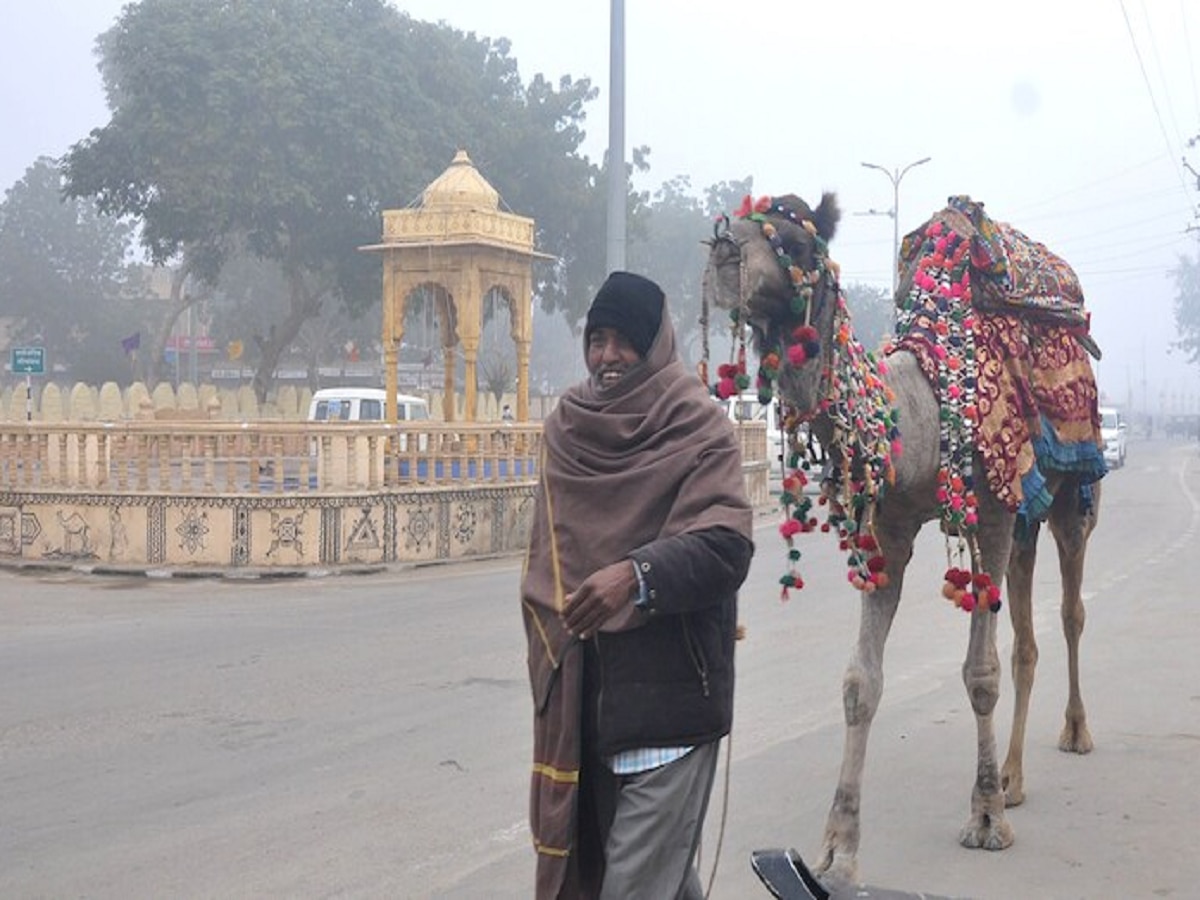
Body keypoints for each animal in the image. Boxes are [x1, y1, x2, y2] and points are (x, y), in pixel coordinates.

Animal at [700, 192, 1104, 888]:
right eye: (744, 219)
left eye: (796, 243)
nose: (725, 251)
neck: (923, 413)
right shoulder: (889, 527)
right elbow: (860, 682)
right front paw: (837, 849)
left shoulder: (991, 514)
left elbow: (980, 673)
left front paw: (986, 820)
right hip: (1027, 516)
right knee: (1026, 633)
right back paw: (1015, 777)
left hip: (1071, 490)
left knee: (1070, 609)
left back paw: (1072, 736)